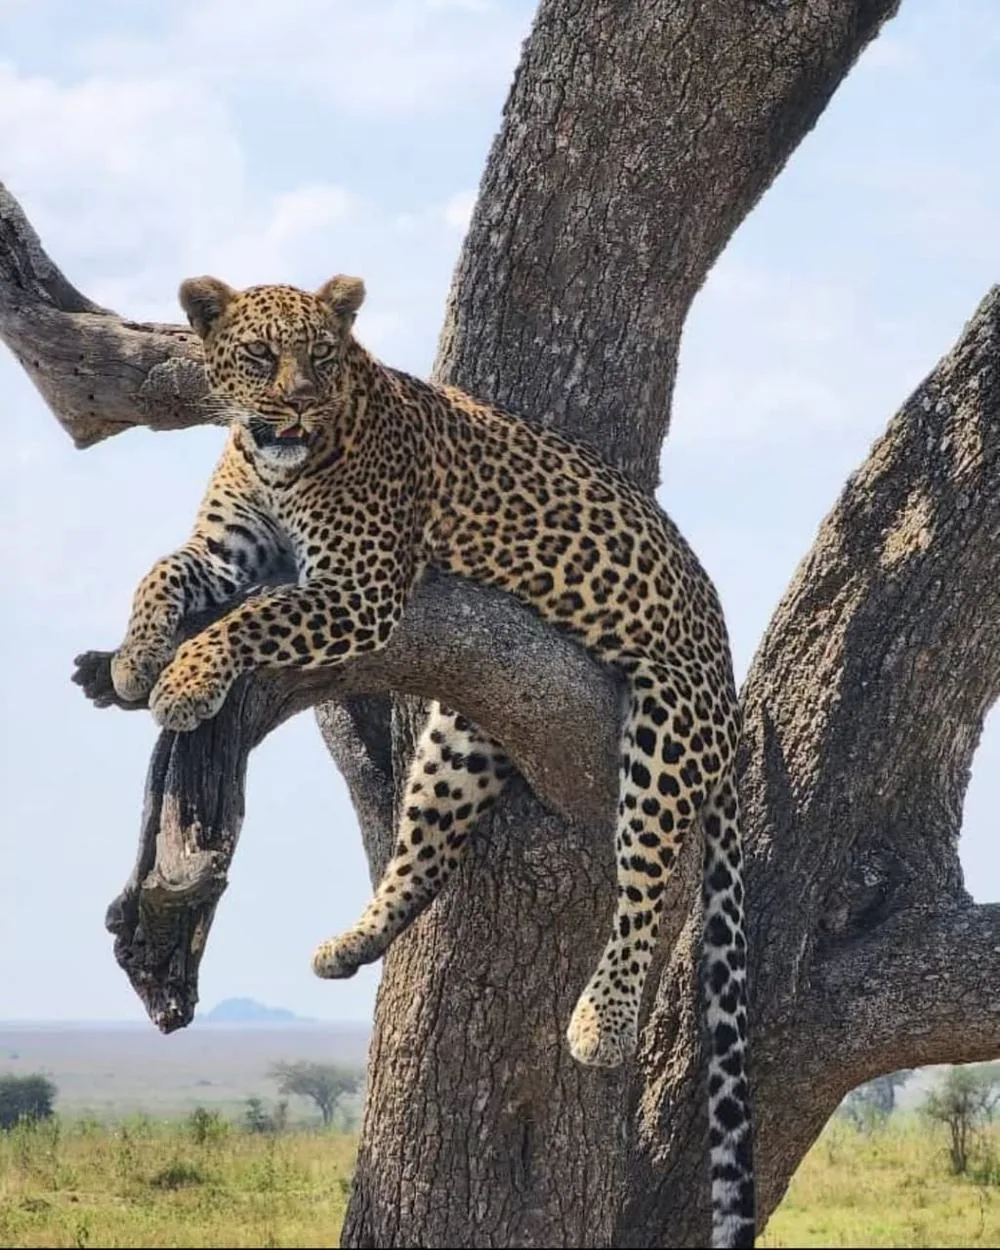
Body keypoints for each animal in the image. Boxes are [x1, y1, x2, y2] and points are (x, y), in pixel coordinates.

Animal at [109, 274, 755, 1248]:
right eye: (260, 356)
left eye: (323, 357)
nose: (297, 404)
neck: (274, 460)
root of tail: (727, 685)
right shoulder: (227, 551)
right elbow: (157, 572)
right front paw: (131, 659)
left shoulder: (361, 589)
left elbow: (251, 617)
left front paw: (186, 677)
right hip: (463, 734)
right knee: (423, 855)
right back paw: (352, 942)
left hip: (663, 730)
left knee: (643, 884)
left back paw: (601, 1024)